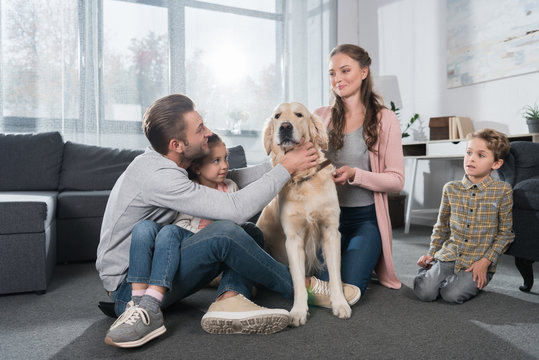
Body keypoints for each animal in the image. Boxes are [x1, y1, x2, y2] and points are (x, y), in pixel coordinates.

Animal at [256, 101, 352, 326]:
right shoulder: (293, 238)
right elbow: (298, 280)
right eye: (277, 116)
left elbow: (335, 274)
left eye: (299, 114)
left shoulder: (331, 232)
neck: (304, 179)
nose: (285, 126)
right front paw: (299, 310)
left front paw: (340, 303)